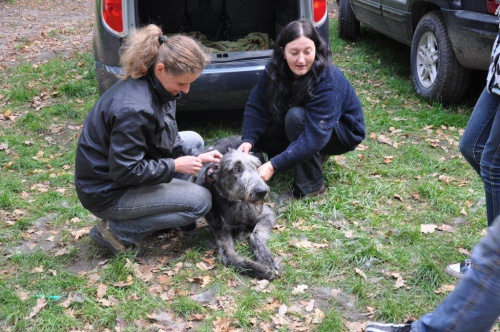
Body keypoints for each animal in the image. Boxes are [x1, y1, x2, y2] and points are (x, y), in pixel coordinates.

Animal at [195, 137, 280, 280]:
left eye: (256, 166)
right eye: (236, 169)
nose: (262, 191)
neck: (231, 202)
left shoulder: (267, 214)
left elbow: (255, 235)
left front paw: (266, 259)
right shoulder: (220, 230)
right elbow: (229, 257)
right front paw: (259, 269)